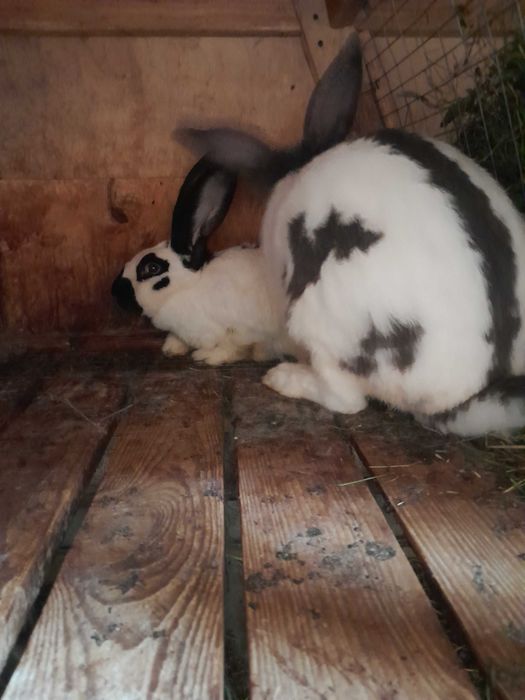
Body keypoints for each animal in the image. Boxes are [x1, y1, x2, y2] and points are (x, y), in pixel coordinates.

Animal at [111, 157, 297, 366]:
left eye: (152, 267)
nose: (114, 290)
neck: (190, 287)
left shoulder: (240, 331)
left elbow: (232, 348)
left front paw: (205, 356)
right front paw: (171, 348)